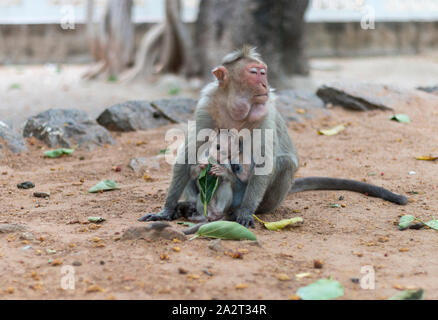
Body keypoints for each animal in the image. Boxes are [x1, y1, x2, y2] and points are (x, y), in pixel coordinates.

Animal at [139, 47, 408, 228]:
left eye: (263, 72)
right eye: (254, 73)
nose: (265, 84)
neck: (235, 107)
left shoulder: (264, 111)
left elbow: (263, 161)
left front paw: (245, 212)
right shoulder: (206, 105)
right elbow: (188, 156)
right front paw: (166, 210)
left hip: (268, 198)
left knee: (283, 163)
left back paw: (237, 210)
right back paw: (188, 206)